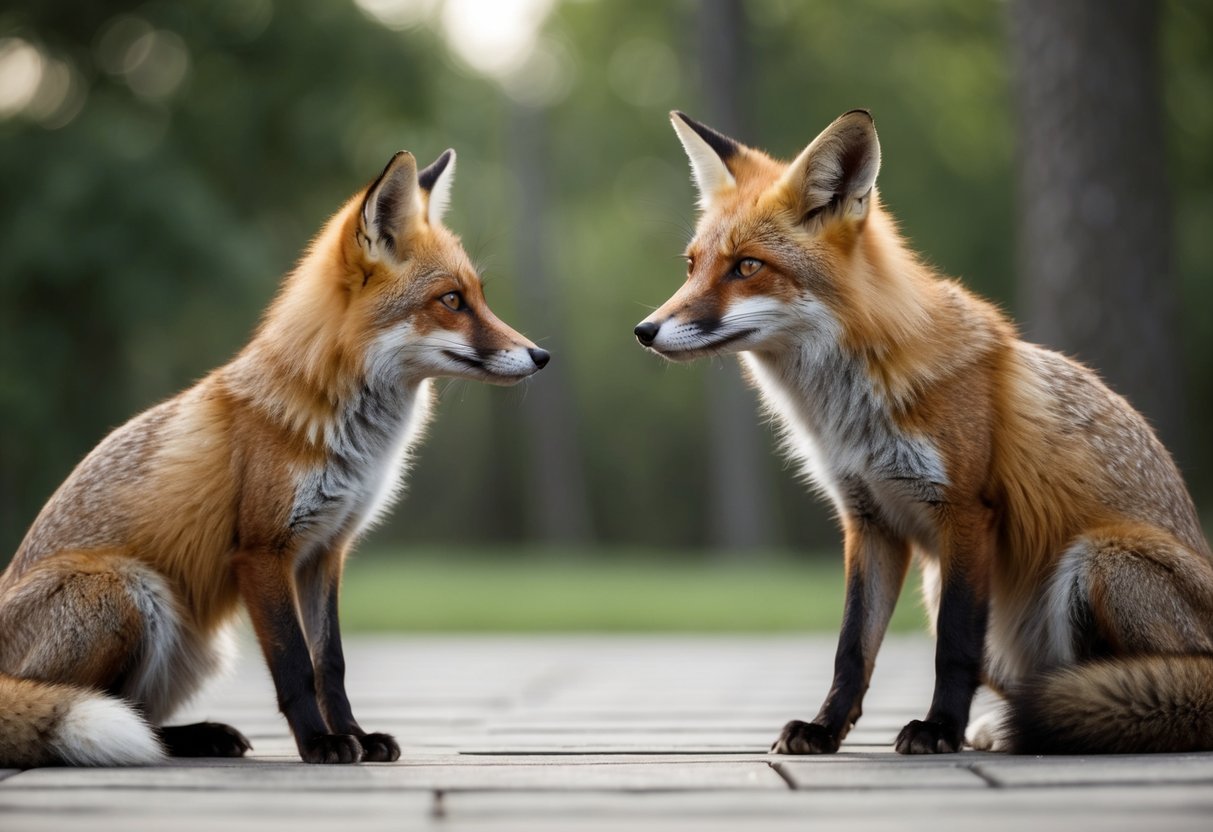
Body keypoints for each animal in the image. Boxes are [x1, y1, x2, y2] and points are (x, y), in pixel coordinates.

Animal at [0, 148, 549, 767]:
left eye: (479, 297)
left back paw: (201, 737)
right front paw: (321, 743)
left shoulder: (325, 551)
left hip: (196, 646)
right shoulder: (262, 552)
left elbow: (330, 663)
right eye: (451, 301)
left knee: (134, 712)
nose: (541, 355)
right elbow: (294, 666)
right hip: (128, 593)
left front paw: (356, 736)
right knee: (77, 704)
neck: (344, 432)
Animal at [635, 109, 1213, 755]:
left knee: (1123, 688)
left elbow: (953, 649)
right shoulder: (868, 521)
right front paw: (824, 729)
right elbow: (851, 649)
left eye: (748, 267)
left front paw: (938, 729)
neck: (850, 413)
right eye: (692, 266)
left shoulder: (964, 512)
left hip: (1096, 561)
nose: (645, 330)